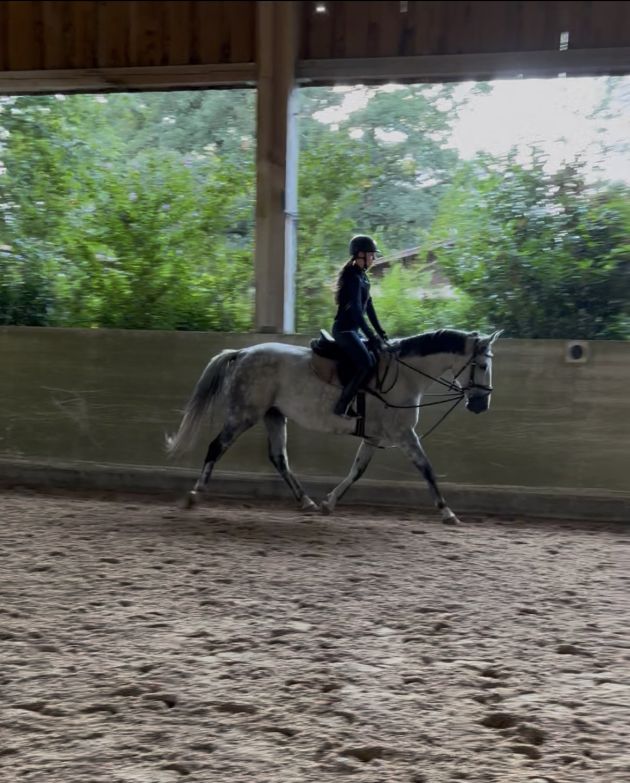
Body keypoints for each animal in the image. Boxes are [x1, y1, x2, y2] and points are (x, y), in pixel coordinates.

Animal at [166, 328, 502, 525]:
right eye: (483, 365)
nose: (480, 405)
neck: (407, 376)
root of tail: (242, 353)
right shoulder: (404, 436)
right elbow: (427, 469)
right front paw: (447, 511)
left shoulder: (374, 437)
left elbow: (357, 471)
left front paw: (329, 502)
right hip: (244, 415)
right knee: (216, 447)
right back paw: (194, 495)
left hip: (274, 416)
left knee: (279, 458)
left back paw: (307, 502)